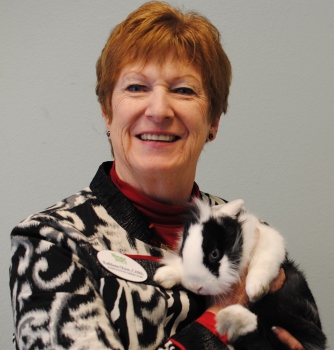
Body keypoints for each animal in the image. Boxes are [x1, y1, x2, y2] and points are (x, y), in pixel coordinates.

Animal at [154, 198, 326, 348]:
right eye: (183, 251)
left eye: (214, 254)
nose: (196, 287)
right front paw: (163, 276)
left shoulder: (270, 245)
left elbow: (262, 261)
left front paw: (255, 289)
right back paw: (229, 318)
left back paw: (231, 317)